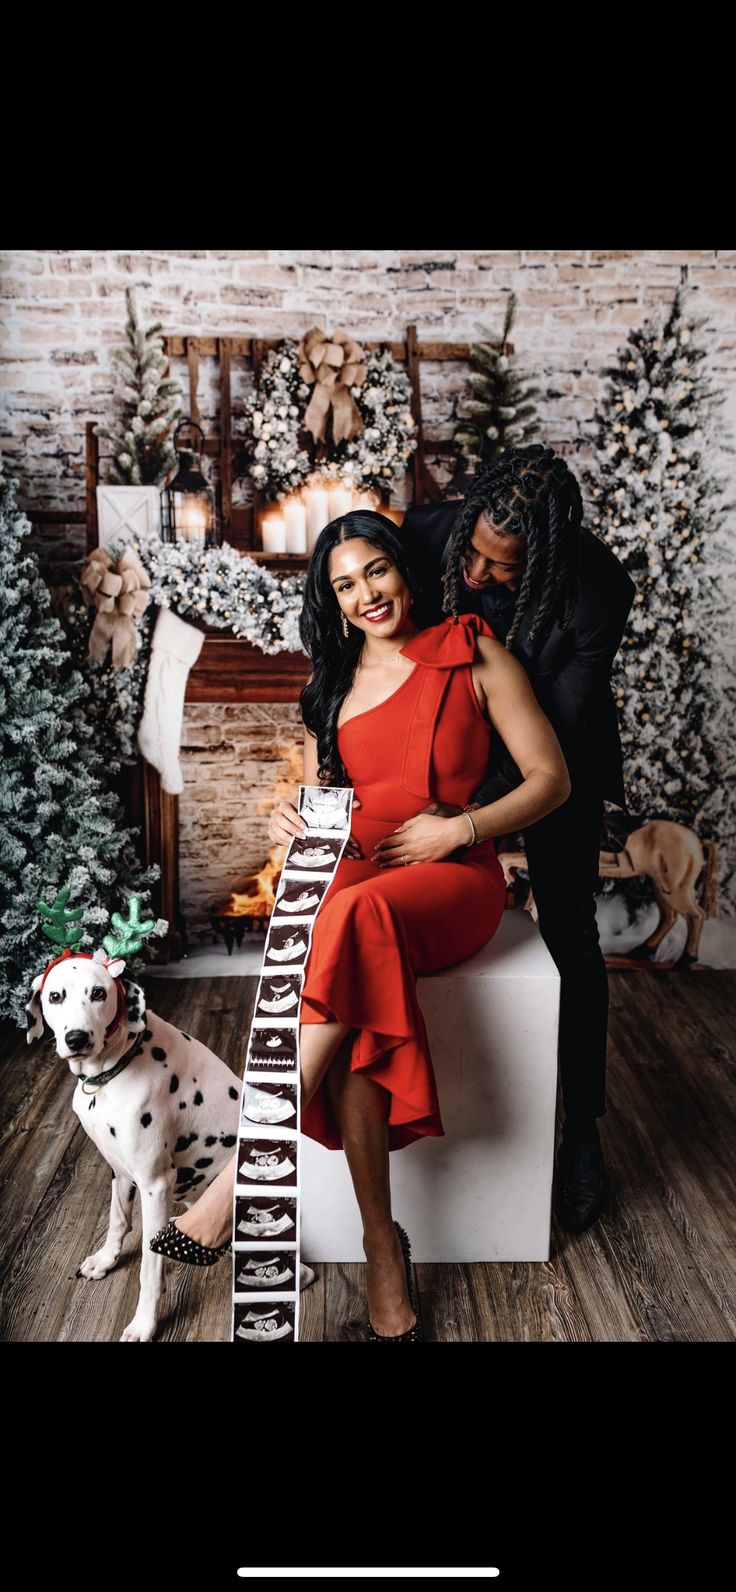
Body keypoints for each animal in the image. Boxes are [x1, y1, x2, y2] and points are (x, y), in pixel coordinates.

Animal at [25, 942, 312, 1343]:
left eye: (98, 993)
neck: (117, 1065)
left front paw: (143, 1323)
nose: (77, 1039)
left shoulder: (155, 1184)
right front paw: (105, 1260)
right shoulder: (121, 1173)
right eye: (56, 996)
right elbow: (117, 1220)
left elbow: (149, 1266)